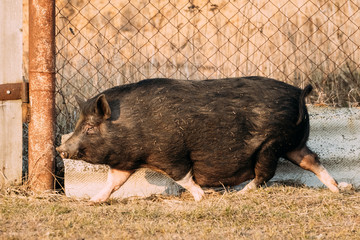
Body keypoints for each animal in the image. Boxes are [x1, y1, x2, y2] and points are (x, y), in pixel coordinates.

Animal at [54, 77, 338, 202]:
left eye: (90, 127)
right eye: (79, 125)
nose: (60, 148)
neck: (132, 125)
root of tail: (299, 93)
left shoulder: (171, 154)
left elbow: (183, 176)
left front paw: (201, 198)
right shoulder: (125, 161)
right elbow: (114, 182)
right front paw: (94, 201)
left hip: (272, 144)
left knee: (265, 174)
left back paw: (240, 193)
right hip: (293, 144)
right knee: (311, 159)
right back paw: (337, 188)